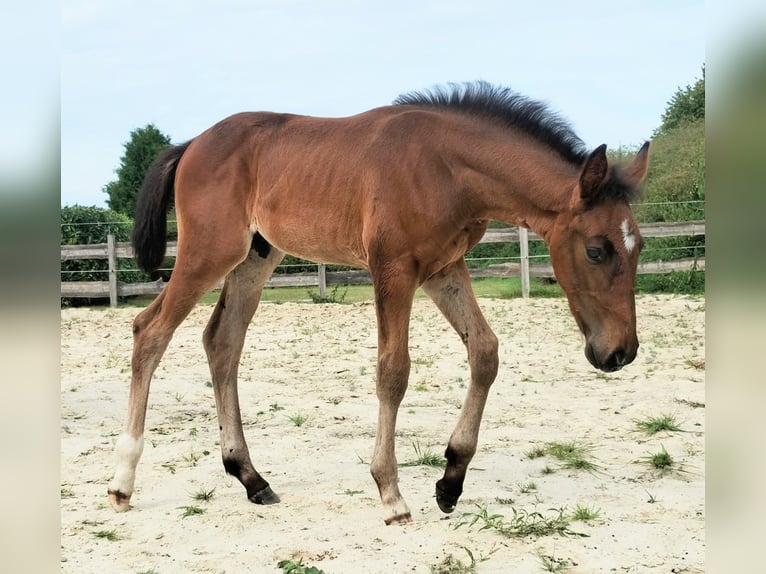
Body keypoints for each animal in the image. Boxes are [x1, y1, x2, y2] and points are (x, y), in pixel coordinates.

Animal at [108, 81, 649, 525]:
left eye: (638, 245)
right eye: (596, 250)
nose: (620, 352)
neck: (445, 167)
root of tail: (192, 144)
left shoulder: (443, 268)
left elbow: (485, 352)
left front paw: (450, 480)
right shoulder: (393, 270)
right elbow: (393, 371)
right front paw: (392, 495)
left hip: (256, 257)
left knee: (222, 341)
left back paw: (250, 477)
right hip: (209, 252)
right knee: (149, 331)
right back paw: (122, 482)